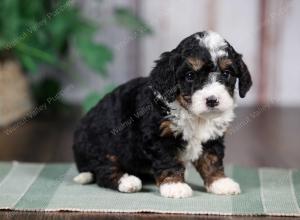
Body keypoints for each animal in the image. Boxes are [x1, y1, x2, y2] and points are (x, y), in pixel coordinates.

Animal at [72, 31, 251, 199]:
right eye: (190, 76)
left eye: (226, 73)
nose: (212, 100)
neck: (193, 115)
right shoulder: (159, 136)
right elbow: (168, 160)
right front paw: (175, 185)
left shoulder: (212, 137)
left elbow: (212, 159)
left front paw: (220, 182)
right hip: (103, 146)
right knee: (104, 171)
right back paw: (128, 181)